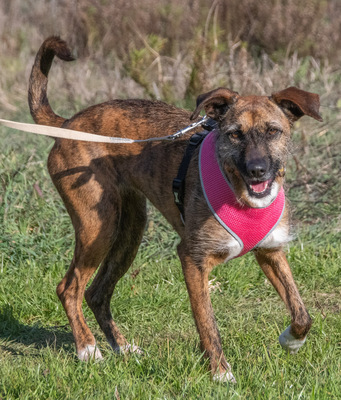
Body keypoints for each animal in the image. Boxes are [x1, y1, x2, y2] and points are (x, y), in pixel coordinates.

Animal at [27, 36, 322, 382]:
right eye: (235, 134)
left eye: (273, 131)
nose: (257, 170)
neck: (240, 195)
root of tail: (69, 123)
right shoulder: (193, 259)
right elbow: (208, 324)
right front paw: (220, 374)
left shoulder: (271, 252)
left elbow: (302, 312)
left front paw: (291, 340)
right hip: (98, 227)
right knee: (69, 288)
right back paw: (87, 349)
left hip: (130, 231)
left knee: (96, 292)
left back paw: (122, 347)